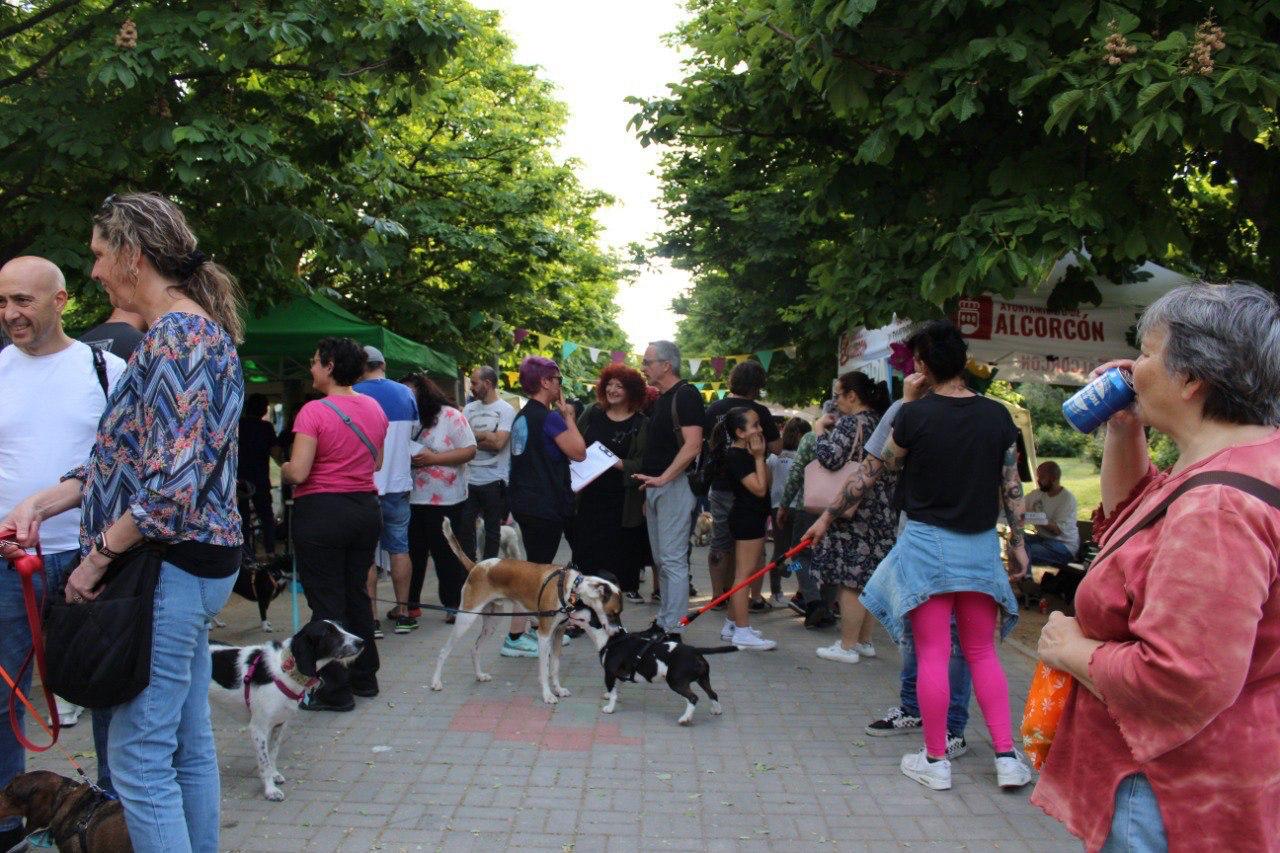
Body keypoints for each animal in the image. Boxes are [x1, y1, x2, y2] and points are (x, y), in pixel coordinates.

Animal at [207, 617, 360, 799]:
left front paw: (274, 775)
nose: (362, 642)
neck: (286, 669)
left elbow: (273, 754)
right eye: (328, 633)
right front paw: (270, 790)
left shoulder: (279, 724)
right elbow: (264, 762)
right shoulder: (258, 729)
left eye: (341, 627)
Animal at [430, 512, 624, 701]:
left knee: (475, 648)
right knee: (443, 651)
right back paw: (436, 682)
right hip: (466, 618)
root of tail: (477, 566)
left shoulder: (559, 632)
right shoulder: (544, 635)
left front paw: (558, 689)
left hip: (492, 623)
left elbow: (555, 667)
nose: (618, 633)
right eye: (612, 613)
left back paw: (479, 675)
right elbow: (544, 671)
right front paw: (547, 695)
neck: (571, 588)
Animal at [596, 622, 737, 722]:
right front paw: (611, 694)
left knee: (693, 697)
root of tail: (694, 651)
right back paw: (716, 711)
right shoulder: (618, 674)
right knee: (712, 694)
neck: (616, 639)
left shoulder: (609, 672)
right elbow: (615, 688)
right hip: (703, 679)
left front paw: (609, 708)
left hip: (675, 682)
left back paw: (685, 719)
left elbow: (613, 692)